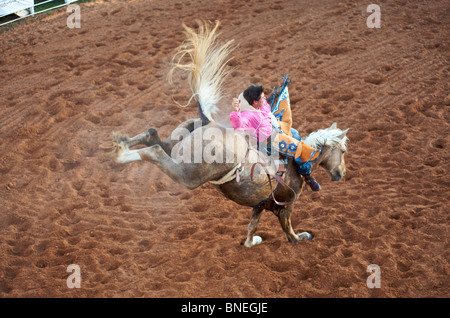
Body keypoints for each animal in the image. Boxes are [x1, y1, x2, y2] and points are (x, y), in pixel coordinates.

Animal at [103, 21, 350, 247]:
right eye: (344, 151)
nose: (342, 173)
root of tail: (208, 121)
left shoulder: (260, 205)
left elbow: (252, 227)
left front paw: (253, 241)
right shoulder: (285, 205)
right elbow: (289, 231)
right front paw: (302, 236)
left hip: (176, 146)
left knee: (153, 135)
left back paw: (120, 142)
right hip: (189, 175)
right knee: (154, 150)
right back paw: (120, 154)